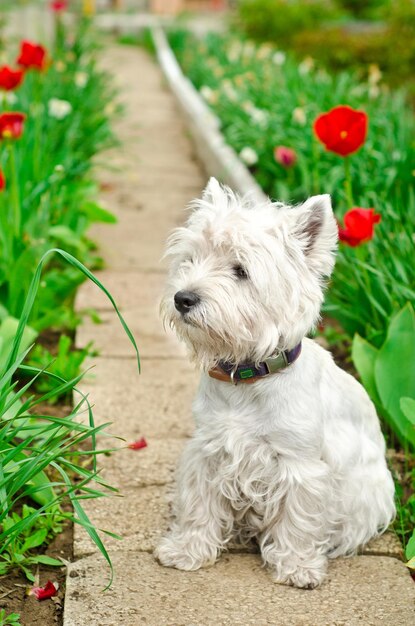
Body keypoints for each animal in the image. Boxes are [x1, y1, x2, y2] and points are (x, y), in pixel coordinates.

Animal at [155, 178, 396, 588]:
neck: (247, 378)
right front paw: (187, 549)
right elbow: (200, 502)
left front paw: (298, 566)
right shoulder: (208, 449)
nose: (182, 298)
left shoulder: (299, 464)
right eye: (191, 259)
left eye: (240, 270)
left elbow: (298, 519)